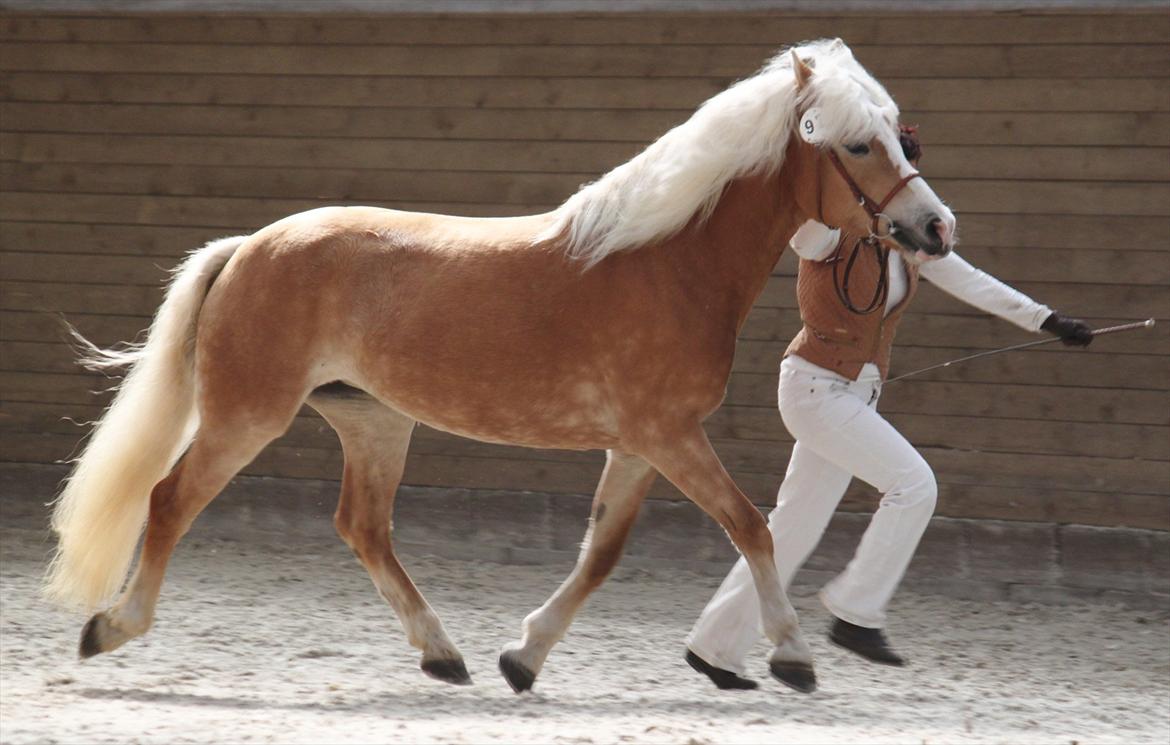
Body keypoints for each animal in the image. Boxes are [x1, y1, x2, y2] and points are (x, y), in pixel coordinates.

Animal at [45, 39, 954, 692]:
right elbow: (750, 524)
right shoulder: (669, 436)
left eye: (898, 134)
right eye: (860, 144)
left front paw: (524, 657)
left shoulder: (641, 445)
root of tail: (247, 247)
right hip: (249, 416)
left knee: (363, 527)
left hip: (374, 421)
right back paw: (111, 627)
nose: (935, 227)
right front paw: (794, 655)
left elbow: (602, 553)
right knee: (170, 499)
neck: (668, 261)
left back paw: (443, 653)